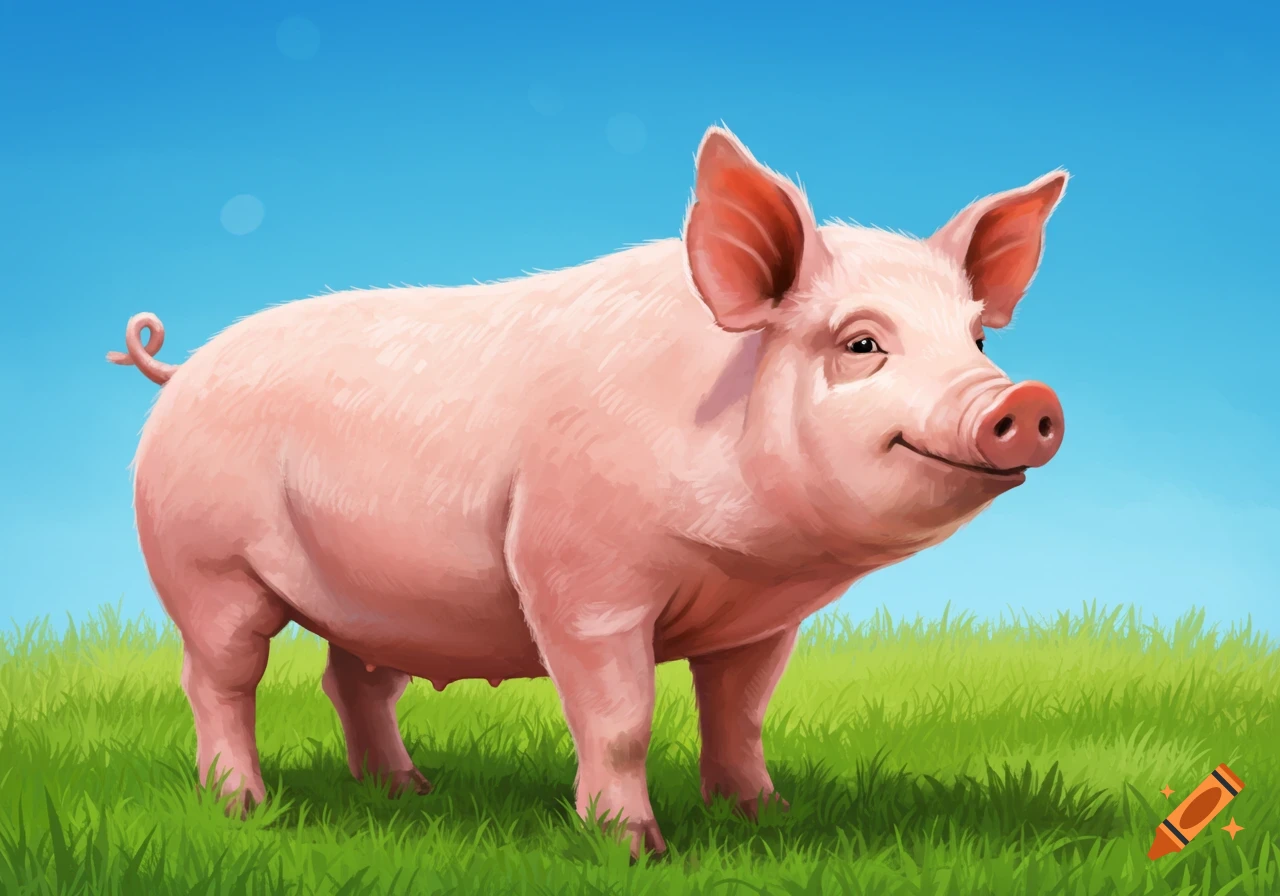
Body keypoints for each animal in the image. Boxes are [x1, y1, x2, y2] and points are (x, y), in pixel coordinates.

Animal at [108, 125, 1067, 856]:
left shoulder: (762, 622)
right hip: (206, 563)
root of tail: (180, 370)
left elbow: (741, 713)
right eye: (862, 343)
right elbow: (620, 719)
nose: (1024, 400)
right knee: (219, 677)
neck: (749, 556)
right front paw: (637, 849)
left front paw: (765, 816)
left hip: (373, 596)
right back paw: (244, 807)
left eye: (979, 338)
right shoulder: (577, 578)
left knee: (354, 683)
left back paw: (409, 794)